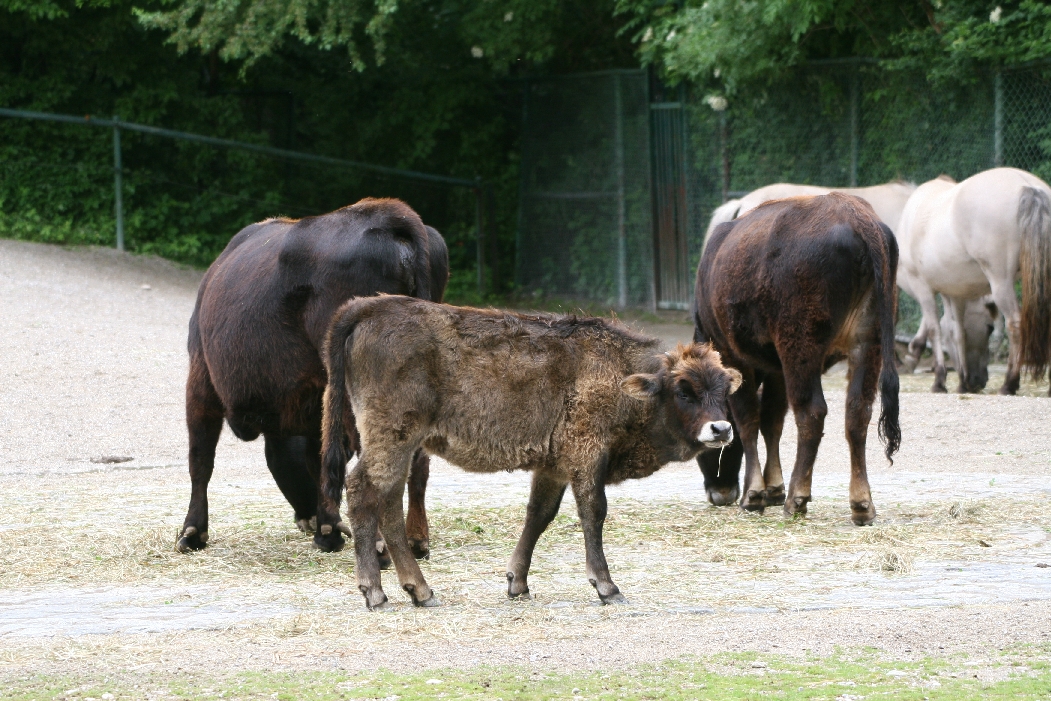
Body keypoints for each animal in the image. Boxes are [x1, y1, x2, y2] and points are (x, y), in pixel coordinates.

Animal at [177, 198, 448, 556]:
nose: (305, 520)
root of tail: (390, 214)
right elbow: (321, 458)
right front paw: (328, 530)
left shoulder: (201, 378)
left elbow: (200, 458)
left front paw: (193, 532)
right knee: (416, 461)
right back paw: (416, 540)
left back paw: (378, 546)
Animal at [318, 296, 743, 610]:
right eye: (684, 390)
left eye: (724, 389)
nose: (721, 429)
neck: (621, 375)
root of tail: (368, 307)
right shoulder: (587, 456)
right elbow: (593, 513)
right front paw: (607, 586)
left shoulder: (554, 467)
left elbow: (539, 515)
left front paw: (517, 583)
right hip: (392, 438)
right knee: (362, 492)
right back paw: (375, 592)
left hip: (401, 445)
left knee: (388, 503)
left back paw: (419, 591)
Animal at [693, 193, 900, 526]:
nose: (720, 493)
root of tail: (857, 217)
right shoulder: (776, 368)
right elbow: (772, 420)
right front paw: (773, 488)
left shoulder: (734, 355)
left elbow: (749, 419)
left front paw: (755, 494)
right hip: (868, 344)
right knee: (857, 412)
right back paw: (861, 503)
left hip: (801, 346)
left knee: (811, 412)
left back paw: (797, 498)